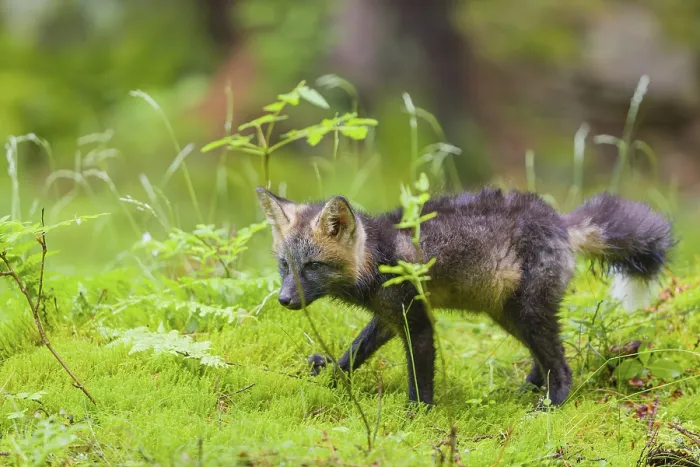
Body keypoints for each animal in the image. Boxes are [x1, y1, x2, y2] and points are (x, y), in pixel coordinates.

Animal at [255, 186, 674, 406]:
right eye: (284, 265)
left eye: (312, 266)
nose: (285, 301)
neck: (378, 260)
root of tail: (560, 221)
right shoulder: (390, 318)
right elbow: (354, 353)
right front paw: (330, 378)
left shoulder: (419, 322)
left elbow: (420, 380)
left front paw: (415, 417)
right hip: (510, 315)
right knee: (544, 360)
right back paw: (524, 391)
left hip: (528, 313)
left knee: (562, 365)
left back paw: (550, 405)